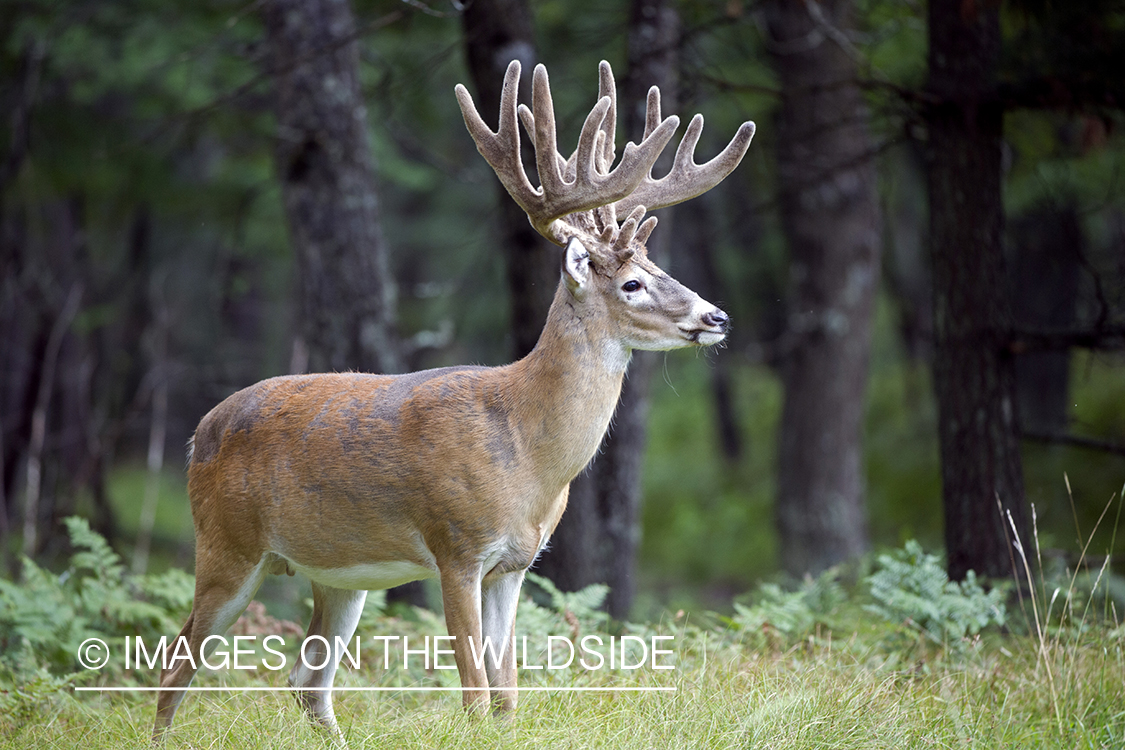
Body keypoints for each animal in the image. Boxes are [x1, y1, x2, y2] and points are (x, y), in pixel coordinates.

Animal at [154, 58, 756, 737]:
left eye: (660, 269)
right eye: (631, 284)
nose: (716, 316)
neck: (527, 449)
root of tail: (198, 433)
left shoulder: (516, 565)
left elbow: (507, 693)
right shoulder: (457, 547)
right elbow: (474, 694)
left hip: (337, 572)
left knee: (307, 679)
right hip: (225, 545)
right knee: (176, 663)